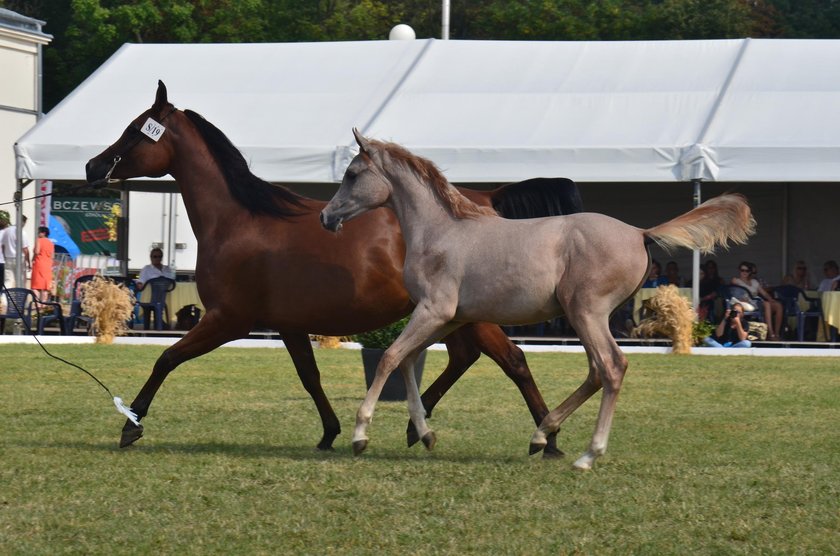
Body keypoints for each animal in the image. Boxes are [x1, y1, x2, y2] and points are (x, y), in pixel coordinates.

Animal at [85, 81, 584, 452]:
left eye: (135, 130)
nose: (92, 166)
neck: (238, 219)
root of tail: (488, 198)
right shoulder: (287, 324)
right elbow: (309, 377)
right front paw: (330, 432)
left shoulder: (228, 319)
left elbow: (167, 358)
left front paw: (131, 424)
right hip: (454, 315)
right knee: (467, 357)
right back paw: (417, 426)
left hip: (470, 315)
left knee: (513, 360)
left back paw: (549, 439)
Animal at [320, 130, 756, 470]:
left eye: (353, 174)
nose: (326, 217)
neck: (440, 232)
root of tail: (639, 233)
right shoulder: (450, 319)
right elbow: (409, 360)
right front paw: (424, 434)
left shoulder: (433, 311)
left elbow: (391, 357)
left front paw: (361, 435)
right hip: (583, 318)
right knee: (596, 372)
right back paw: (542, 435)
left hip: (586, 313)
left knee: (612, 367)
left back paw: (586, 454)